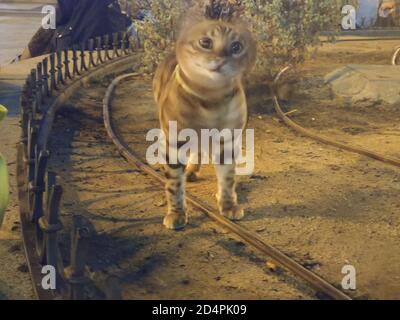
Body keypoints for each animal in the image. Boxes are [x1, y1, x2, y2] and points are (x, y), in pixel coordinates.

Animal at [153, 15, 256, 230]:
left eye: (236, 46)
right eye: (205, 42)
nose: (222, 59)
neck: (211, 99)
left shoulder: (227, 141)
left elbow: (227, 178)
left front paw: (228, 204)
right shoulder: (173, 143)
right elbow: (174, 184)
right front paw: (176, 213)